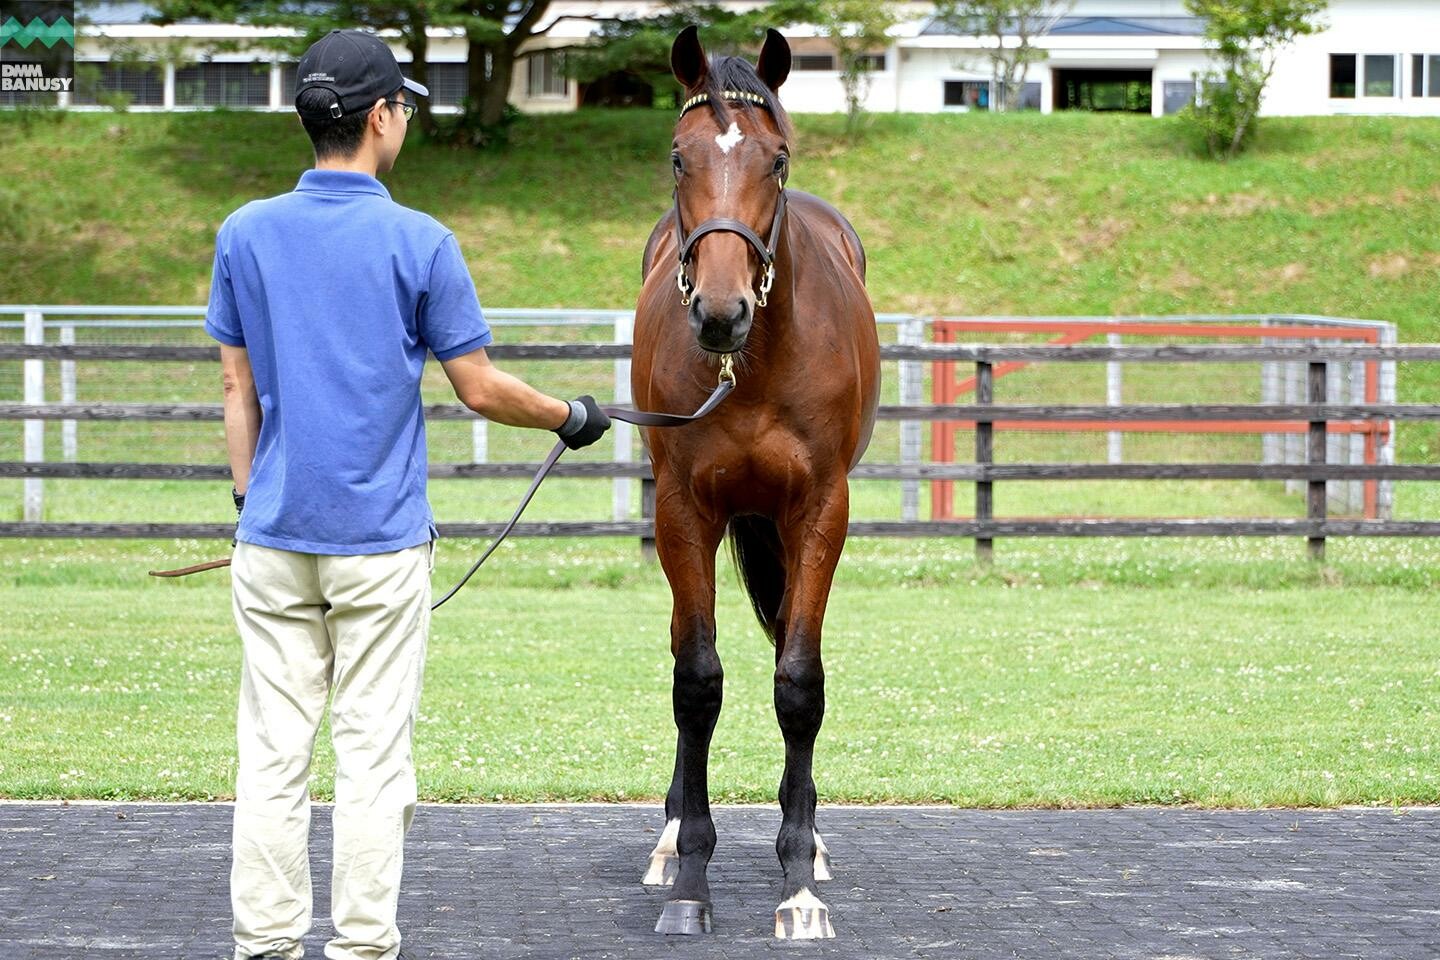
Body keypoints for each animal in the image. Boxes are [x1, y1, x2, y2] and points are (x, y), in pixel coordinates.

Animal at [636, 26, 881, 944]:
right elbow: (696, 682)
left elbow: (799, 682)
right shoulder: (683, 512)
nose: (720, 310)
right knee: (684, 651)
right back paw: (669, 839)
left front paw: (799, 882)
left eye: (775, 160)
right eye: (679, 157)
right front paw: (690, 880)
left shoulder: (819, 513)